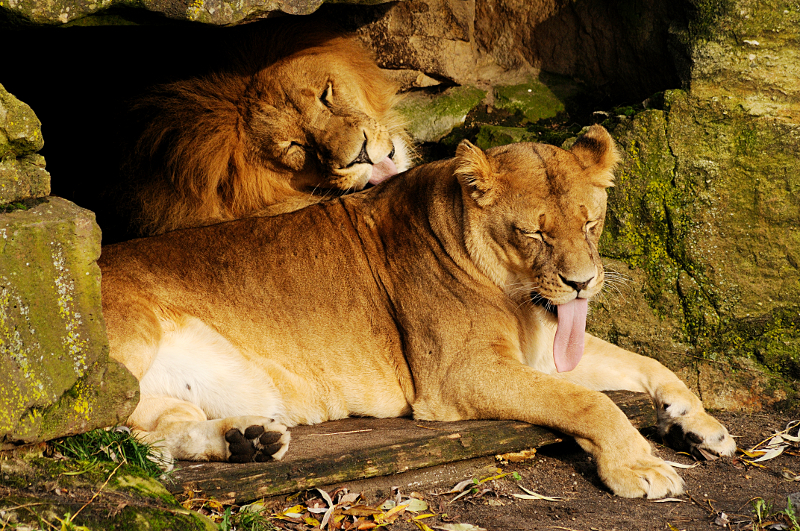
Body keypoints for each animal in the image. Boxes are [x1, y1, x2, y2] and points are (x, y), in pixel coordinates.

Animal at [99, 125, 735, 498]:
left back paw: (247, 439)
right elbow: (589, 402)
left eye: (591, 223)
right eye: (533, 232)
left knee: (152, 436)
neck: (522, 299)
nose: (581, 284)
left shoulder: (541, 354)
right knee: (102, 436)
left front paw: (700, 423)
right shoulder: (459, 376)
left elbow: (649, 364)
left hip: (176, 398)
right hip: (130, 340)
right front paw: (640, 468)